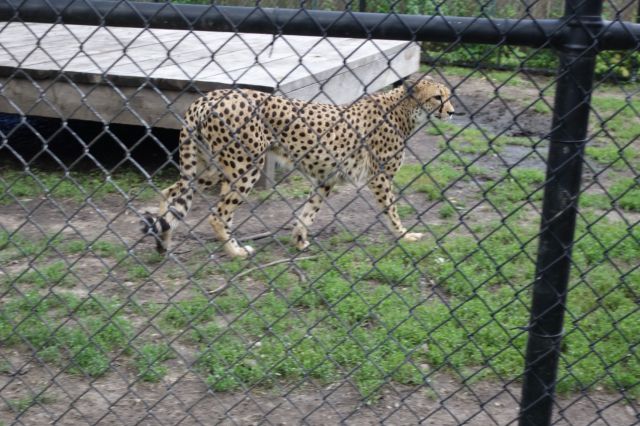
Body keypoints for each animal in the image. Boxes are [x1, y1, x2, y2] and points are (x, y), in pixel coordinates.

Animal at [143, 78, 458, 258]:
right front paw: (405, 236)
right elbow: (391, 211)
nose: (453, 112)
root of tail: (207, 97)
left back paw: (163, 241)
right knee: (217, 214)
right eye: (437, 97)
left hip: (209, 167)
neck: (404, 110)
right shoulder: (380, 179)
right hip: (245, 166)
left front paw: (299, 240)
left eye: (448, 95)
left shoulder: (326, 179)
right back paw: (235, 252)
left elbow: (309, 212)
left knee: (170, 192)